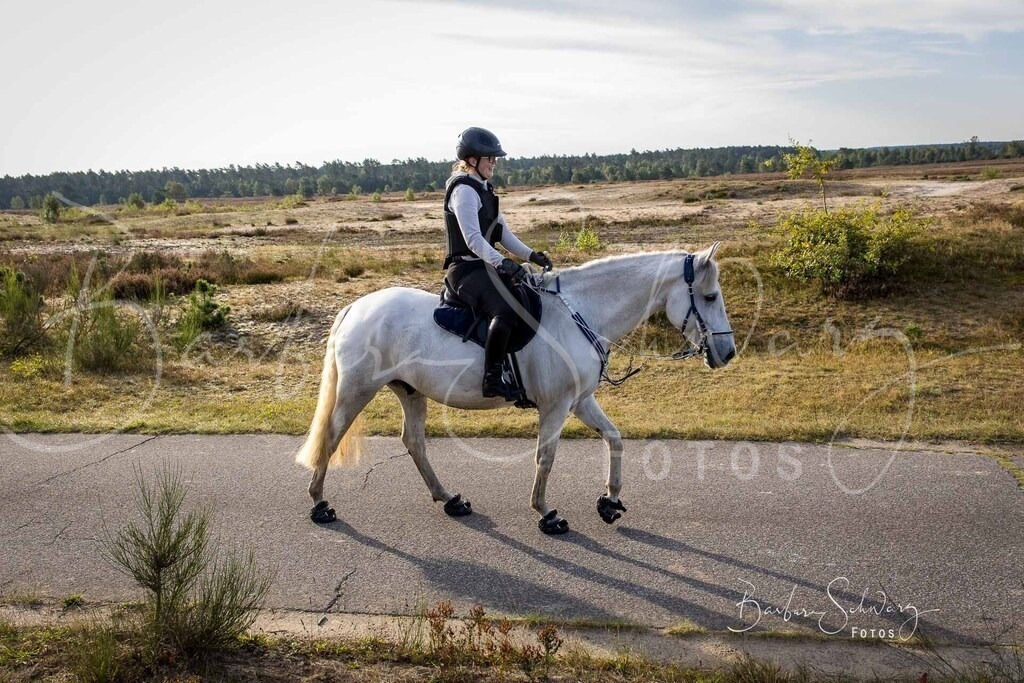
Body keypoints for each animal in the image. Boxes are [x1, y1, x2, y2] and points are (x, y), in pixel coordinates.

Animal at [295, 243, 736, 534]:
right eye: (710, 295)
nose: (728, 352)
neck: (581, 314)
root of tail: (354, 308)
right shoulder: (556, 407)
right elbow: (546, 457)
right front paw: (545, 512)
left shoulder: (581, 401)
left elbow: (614, 438)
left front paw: (610, 502)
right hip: (357, 390)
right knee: (331, 437)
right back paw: (319, 504)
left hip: (410, 391)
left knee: (414, 442)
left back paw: (449, 499)